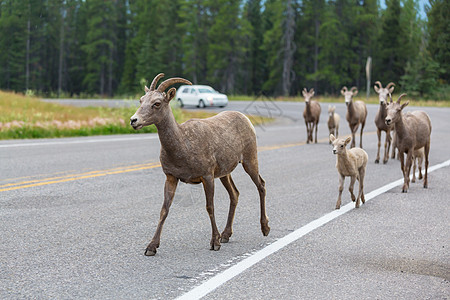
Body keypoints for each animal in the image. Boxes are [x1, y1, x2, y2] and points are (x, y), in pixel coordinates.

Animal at [130, 74, 270, 256]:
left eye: (157, 103)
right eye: (141, 100)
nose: (134, 120)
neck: (183, 145)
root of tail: (246, 119)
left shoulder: (207, 176)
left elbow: (210, 207)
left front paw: (214, 243)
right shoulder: (171, 177)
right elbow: (164, 210)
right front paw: (151, 247)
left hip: (249, 160)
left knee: (261, 185)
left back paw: (265, 229)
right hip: (225, 173)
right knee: (235, 194)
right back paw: (226, 235)